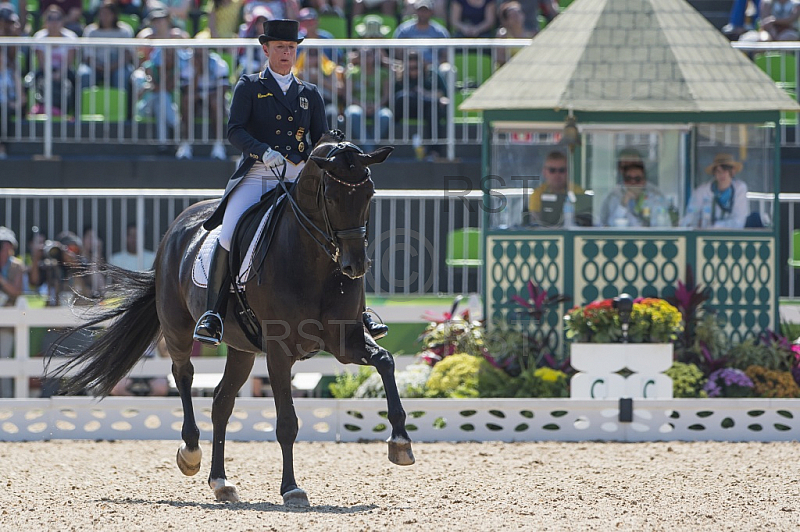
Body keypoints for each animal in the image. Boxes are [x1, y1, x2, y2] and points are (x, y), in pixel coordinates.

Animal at [51, 131, 412, 504]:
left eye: (369, 194)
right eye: (330, 196)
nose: (355, 265)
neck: (315, 262)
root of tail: (176, 229)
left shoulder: (345, 340)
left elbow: (385, 361)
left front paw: (400, 442)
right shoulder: (279, 350)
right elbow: (286, 422)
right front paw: (291, 488)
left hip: (242, 348)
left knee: (221, 401)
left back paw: (220, 481)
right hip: (178, 329)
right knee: (183, 375)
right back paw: (190, 453)